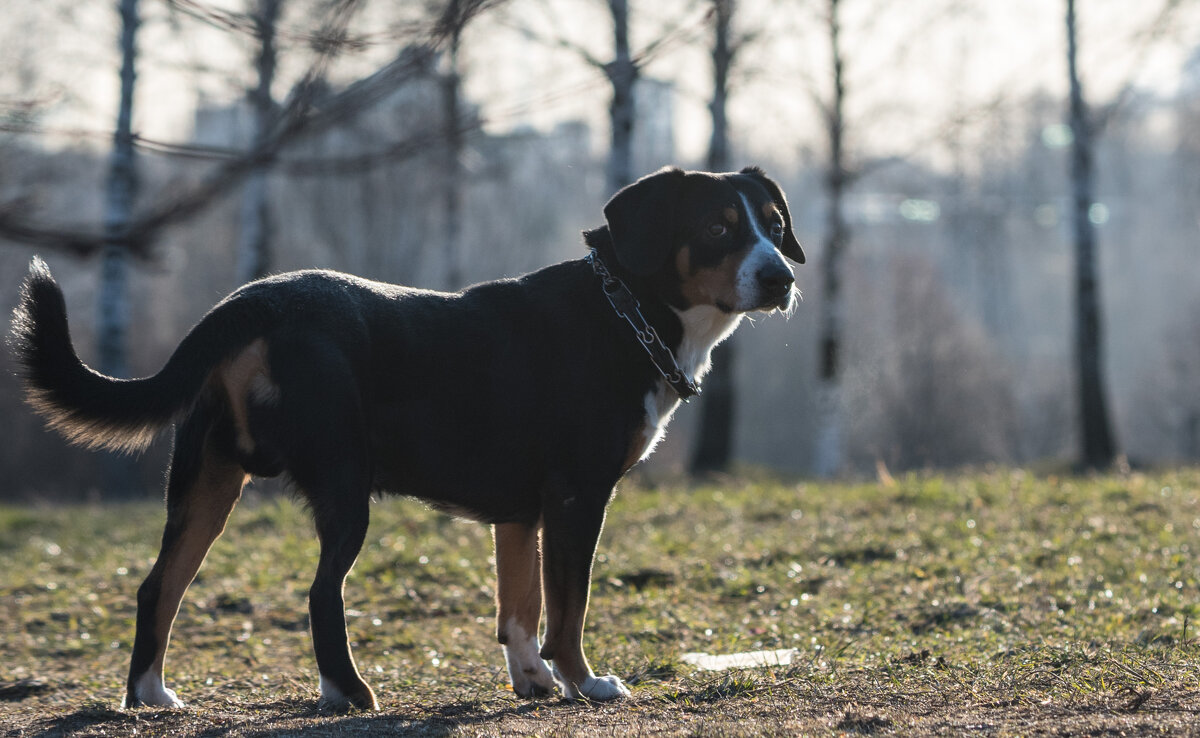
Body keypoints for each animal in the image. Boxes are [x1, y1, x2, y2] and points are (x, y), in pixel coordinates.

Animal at [11, 165, 806, 710]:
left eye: (772, 224)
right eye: (717, 229)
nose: (779, 278)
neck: (625, 309)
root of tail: (252, 302)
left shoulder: (520, 512)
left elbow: (519, 607)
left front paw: (532, 680)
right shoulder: (577, 499)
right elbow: (567, 607)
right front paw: (584, 682)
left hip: (206, 483)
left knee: (159, 587)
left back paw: (150, 695)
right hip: (342, 486)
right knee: (320, 594)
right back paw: (348, 691)